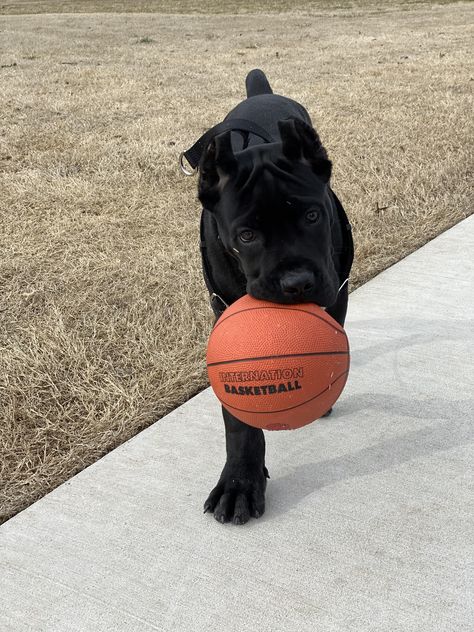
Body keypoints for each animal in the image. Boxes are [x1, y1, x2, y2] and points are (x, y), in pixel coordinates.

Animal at [181, 68, 352, 524]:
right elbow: (239, 422)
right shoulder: (223, 316)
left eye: (312, 215)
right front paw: (240, 481)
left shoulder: (337, 291)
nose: (296, 283)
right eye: (246, 236)